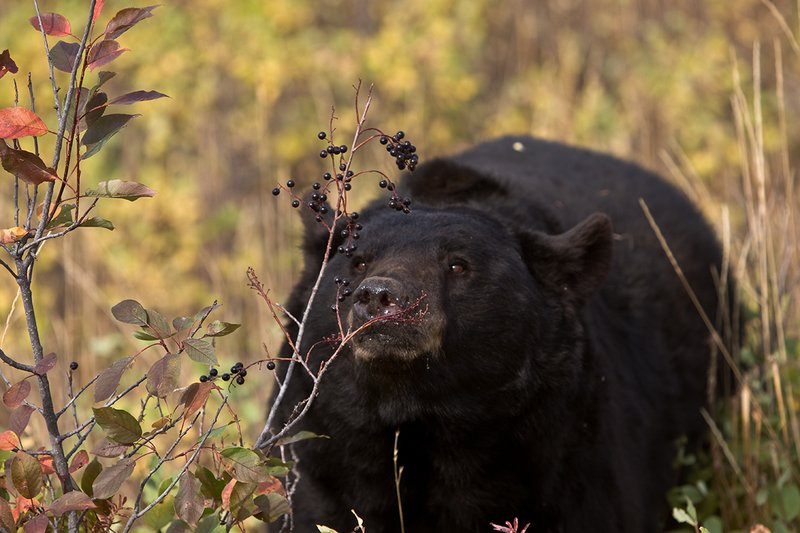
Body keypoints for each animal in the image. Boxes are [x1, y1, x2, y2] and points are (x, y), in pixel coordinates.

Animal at [267, 136, 726, 532]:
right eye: (358, 261)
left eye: (458, 265)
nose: (380, 297)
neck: (420, 414)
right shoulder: (323, 457)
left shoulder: (564, 455)